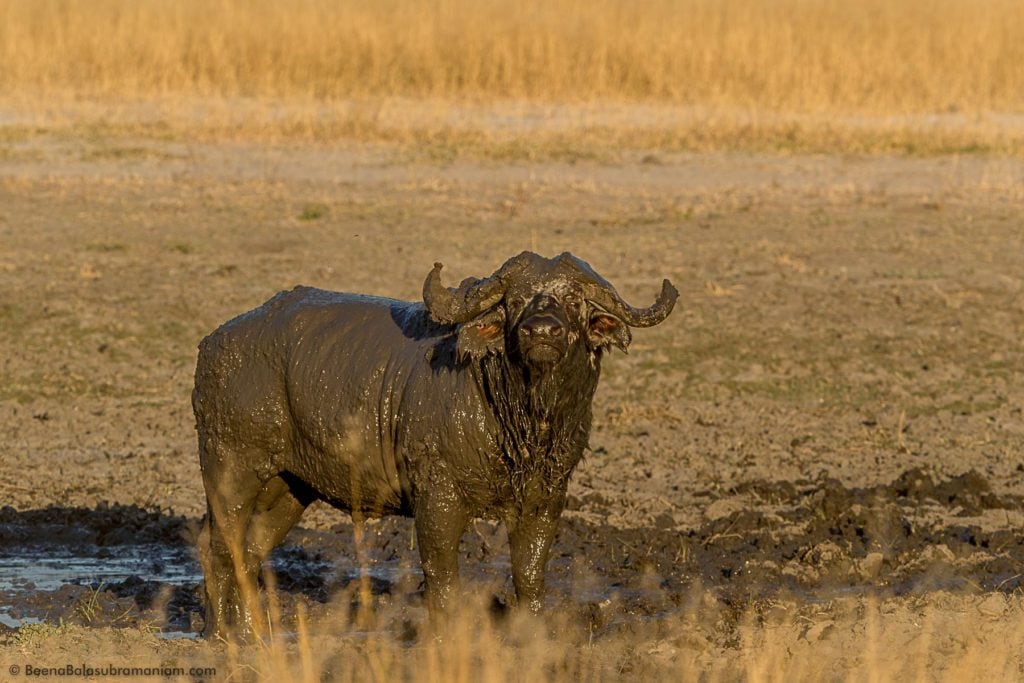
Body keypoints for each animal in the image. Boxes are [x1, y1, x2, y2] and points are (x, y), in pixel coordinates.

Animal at [192, 252, 675, 643]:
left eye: (574, 299)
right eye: (515, 299)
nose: (542, 330)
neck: (521, 423)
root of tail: (214, 343)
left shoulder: (546, 499)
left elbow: (530, 573)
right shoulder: (437, 499)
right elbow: (442, 577)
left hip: (288, 488)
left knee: (249, 552)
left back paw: (251, 633)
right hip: (231, 472)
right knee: (218, 547)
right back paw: (220, 636)